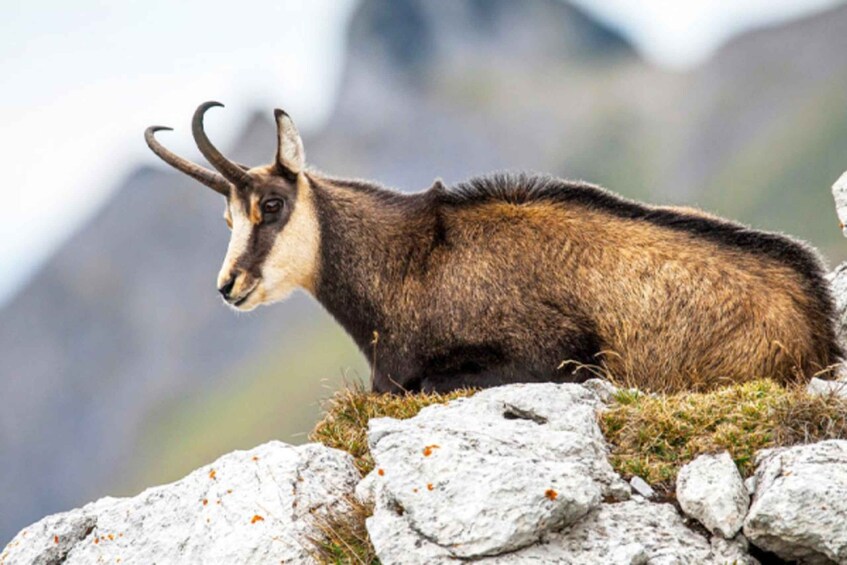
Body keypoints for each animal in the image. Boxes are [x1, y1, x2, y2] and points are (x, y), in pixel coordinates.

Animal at [145, 102, 842, 393]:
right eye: (225, 215)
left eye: (271, 205)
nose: (228, 286)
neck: (410, 265)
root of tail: (816, 316)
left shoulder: (557, 349)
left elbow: (419, 384)